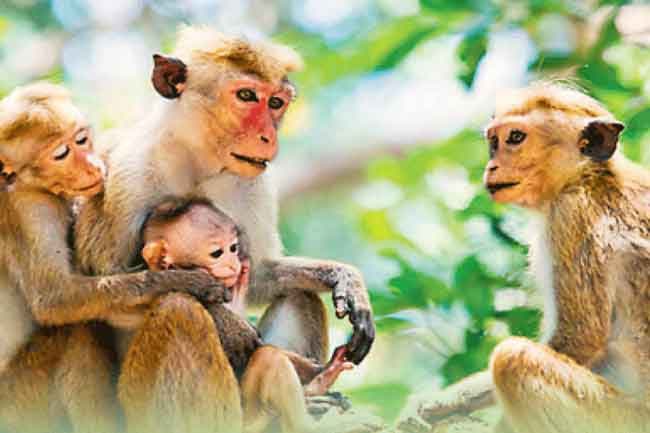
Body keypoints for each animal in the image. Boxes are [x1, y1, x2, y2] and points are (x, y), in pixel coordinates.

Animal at [0, 83, 225, 433]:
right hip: (18, 401)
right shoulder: (29, 208)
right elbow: (55, 299)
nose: (92, 165)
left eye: (81, 139)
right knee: (77, 332)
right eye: (61, 154)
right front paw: (188, 281)